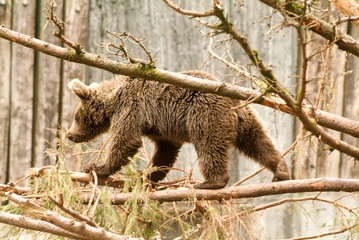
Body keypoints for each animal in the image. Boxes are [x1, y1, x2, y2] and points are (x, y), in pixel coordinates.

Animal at [67, 70, 292, 188]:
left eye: (76, 117)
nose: (69, 135)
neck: (113, 101)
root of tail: (233, 104)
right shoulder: (162, 129)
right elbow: (165, 151)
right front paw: (146, 175)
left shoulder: (131, 109)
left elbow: (126, 140)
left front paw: (96, 167)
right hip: (247, 119)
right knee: (257, 141)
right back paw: (280, 169)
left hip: (205, 116)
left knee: (209, 147)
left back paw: (210, 182)